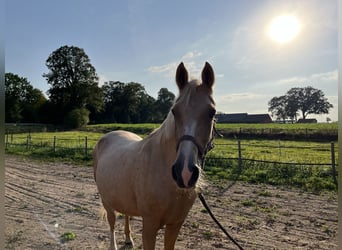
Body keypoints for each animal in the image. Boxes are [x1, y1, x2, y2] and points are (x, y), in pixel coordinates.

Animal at [93, 61, 216, 250]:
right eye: (174, 111)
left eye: (212, 113)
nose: (185, 173)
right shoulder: (150, 227)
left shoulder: (175, 224)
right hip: (106, 200)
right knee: (112, 222)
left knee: (126, 215)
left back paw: (128, 239)